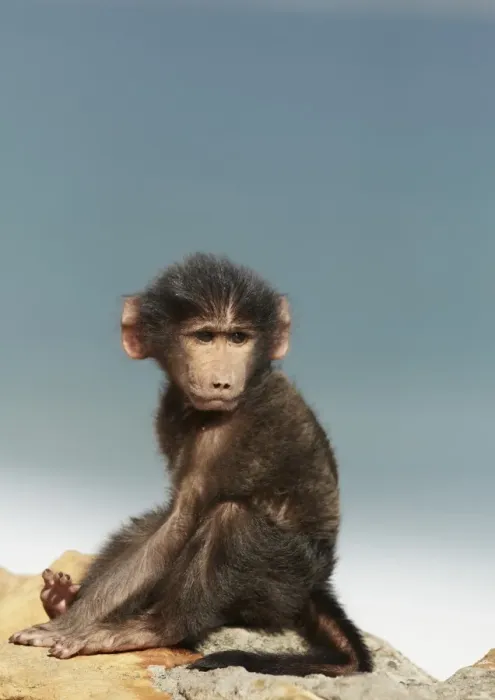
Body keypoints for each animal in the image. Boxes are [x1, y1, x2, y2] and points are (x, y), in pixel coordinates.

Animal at [9, 252, 373, 677]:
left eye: (238, 338)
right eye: (204, 337)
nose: (221, 383)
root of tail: (318, 584)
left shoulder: (222, 431)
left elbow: (181, 520)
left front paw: (70, 625)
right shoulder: (171, 409)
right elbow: (167, 523)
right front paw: (68, 611)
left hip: (284, 581)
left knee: (230, 518)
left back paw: (154, 628)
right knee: (151, 524)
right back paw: (63, 598)